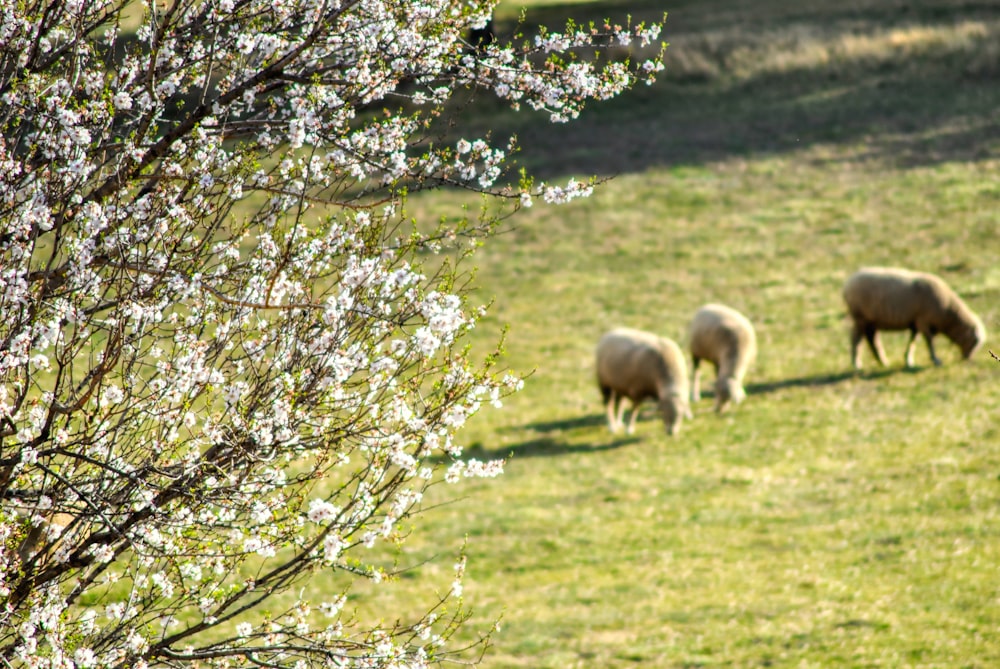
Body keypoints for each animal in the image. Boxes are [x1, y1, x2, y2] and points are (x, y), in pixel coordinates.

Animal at [840, 264, 988, 368]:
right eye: (975, 341)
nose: (967, 359)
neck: (948, 312)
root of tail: (848, 283)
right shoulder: (924, 321)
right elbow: (929, 342)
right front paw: (935, 360)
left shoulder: (916, 323)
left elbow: (913, 342)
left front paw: (908, 360)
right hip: (860, 317)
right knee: (856, 339)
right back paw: (857, 364)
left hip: (872, 320)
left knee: (873, 340)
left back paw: (883, 362)